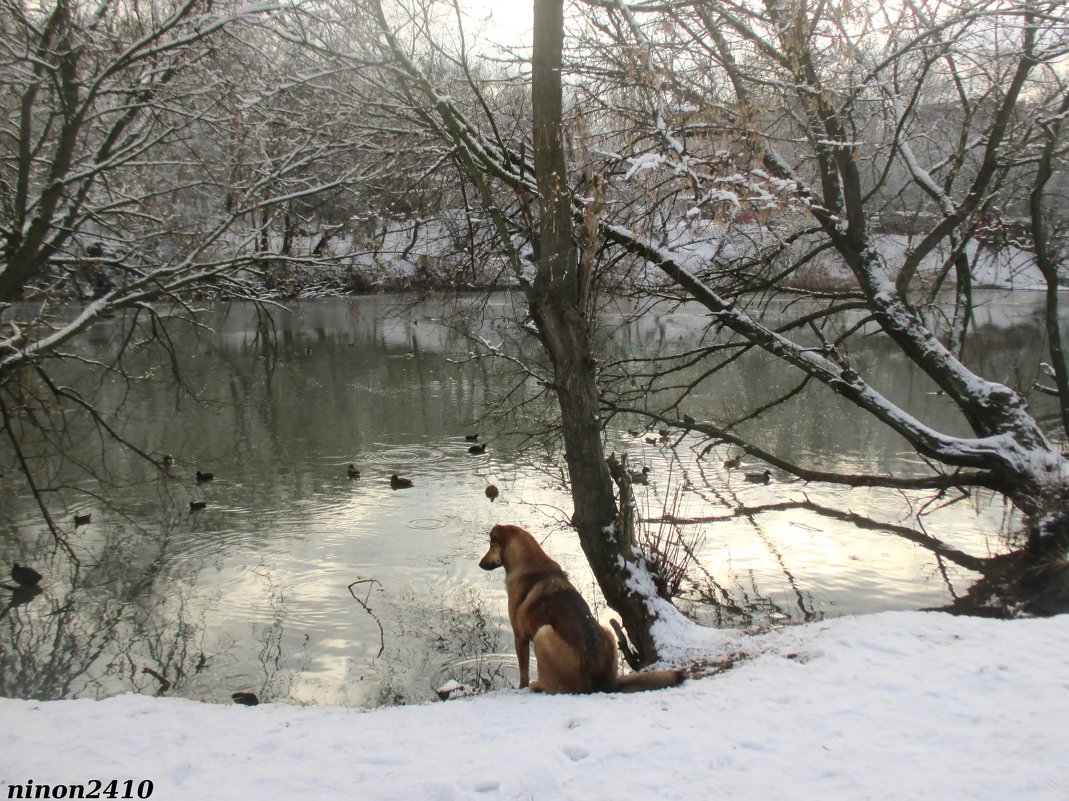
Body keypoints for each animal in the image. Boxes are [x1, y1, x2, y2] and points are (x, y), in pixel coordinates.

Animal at [478, 521, 684, 688]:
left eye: (490, 544)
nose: (480, 564)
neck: (528, 565)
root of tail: (602, 683)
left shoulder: (520, 637)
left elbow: (523, 674)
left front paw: (522, 687)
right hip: (607, 631)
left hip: (543, 634)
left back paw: (538, 685)